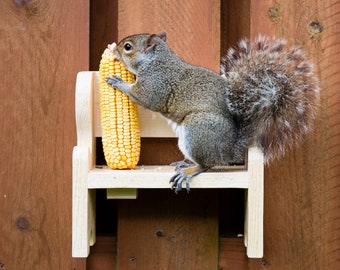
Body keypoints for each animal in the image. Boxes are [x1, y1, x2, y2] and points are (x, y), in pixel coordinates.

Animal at [105, 31, 318, 192]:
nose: (113, 48)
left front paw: (119, 82)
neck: (156, 60)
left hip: (198, 128)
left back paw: (189, 171)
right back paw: (186, 164)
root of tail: (230, 151)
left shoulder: (156, 83)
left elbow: (145, 97)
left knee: (207, 165)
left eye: (127, 47)